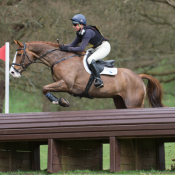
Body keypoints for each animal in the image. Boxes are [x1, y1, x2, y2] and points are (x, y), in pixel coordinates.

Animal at [10, 39, 164, 108]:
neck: (60, 59)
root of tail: (138, 76)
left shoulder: (66, 84)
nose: (12, 72)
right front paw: (60, 101)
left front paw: (60, 101)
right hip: (119, 101)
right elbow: (45, 88)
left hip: (133, 104)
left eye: (19, 54)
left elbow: (44, 88)